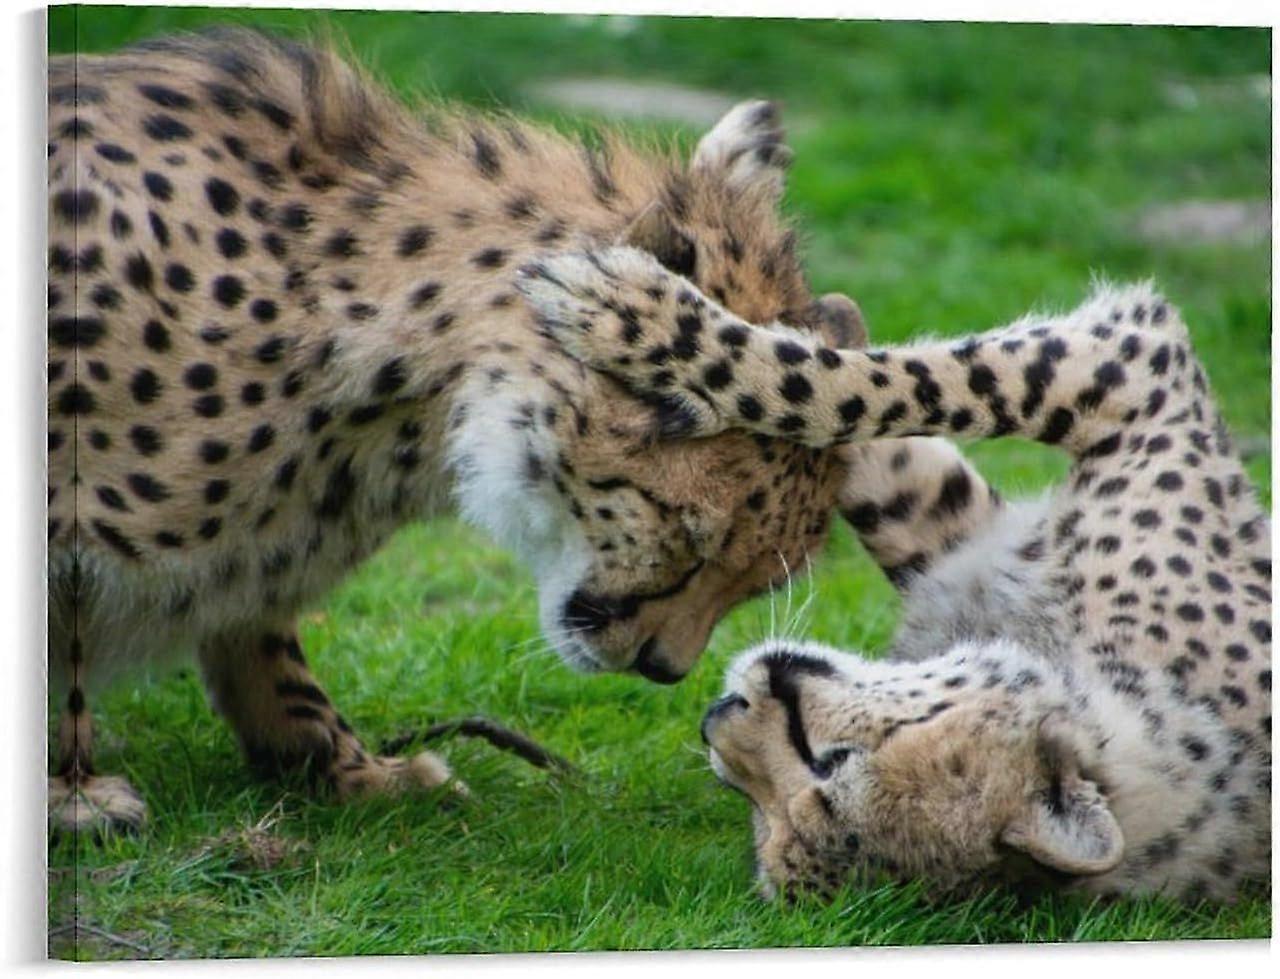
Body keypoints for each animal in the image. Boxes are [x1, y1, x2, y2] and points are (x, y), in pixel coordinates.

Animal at [45, 29, 870, 834]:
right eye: (691, 538)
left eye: (756, 579)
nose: (666, 666)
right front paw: (71, 795)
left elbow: (258, 628)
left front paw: (345, 769)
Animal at [516, 245, 1271, 903]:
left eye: (821, 763)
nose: (713, 717)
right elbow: (891, 412)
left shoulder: (1137, 368)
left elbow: (848, 391)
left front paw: (641, 317)